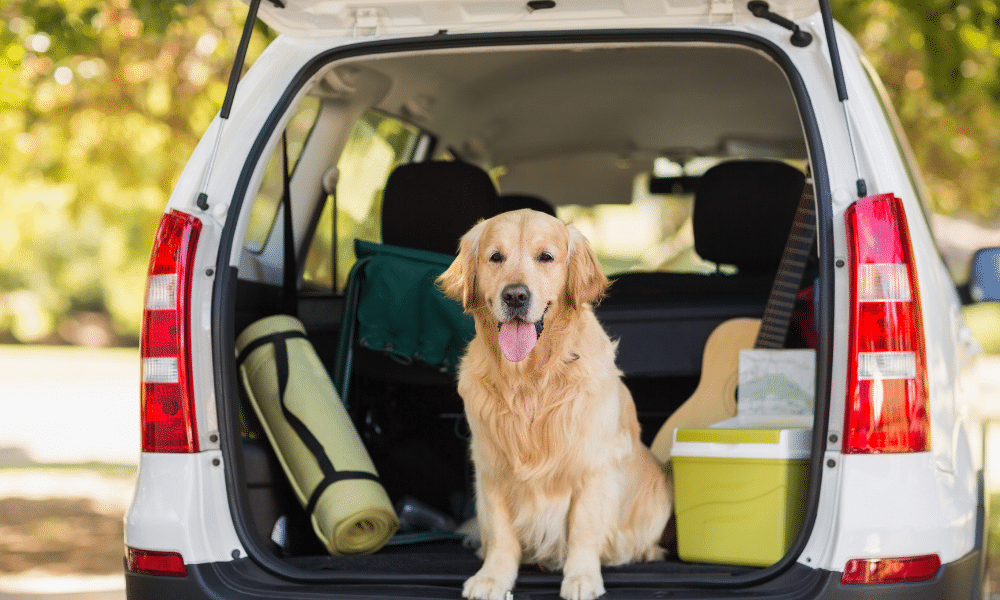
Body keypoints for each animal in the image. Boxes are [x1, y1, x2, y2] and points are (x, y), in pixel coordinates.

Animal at [438, 210, 672, 600]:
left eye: (545, 257)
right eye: (495, 257)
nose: (515, 295)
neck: (530, 379)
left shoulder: (593, 466)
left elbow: (583, 530)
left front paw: (581, 578)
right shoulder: (491, 466)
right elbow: (501, 534)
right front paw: (492, 578)